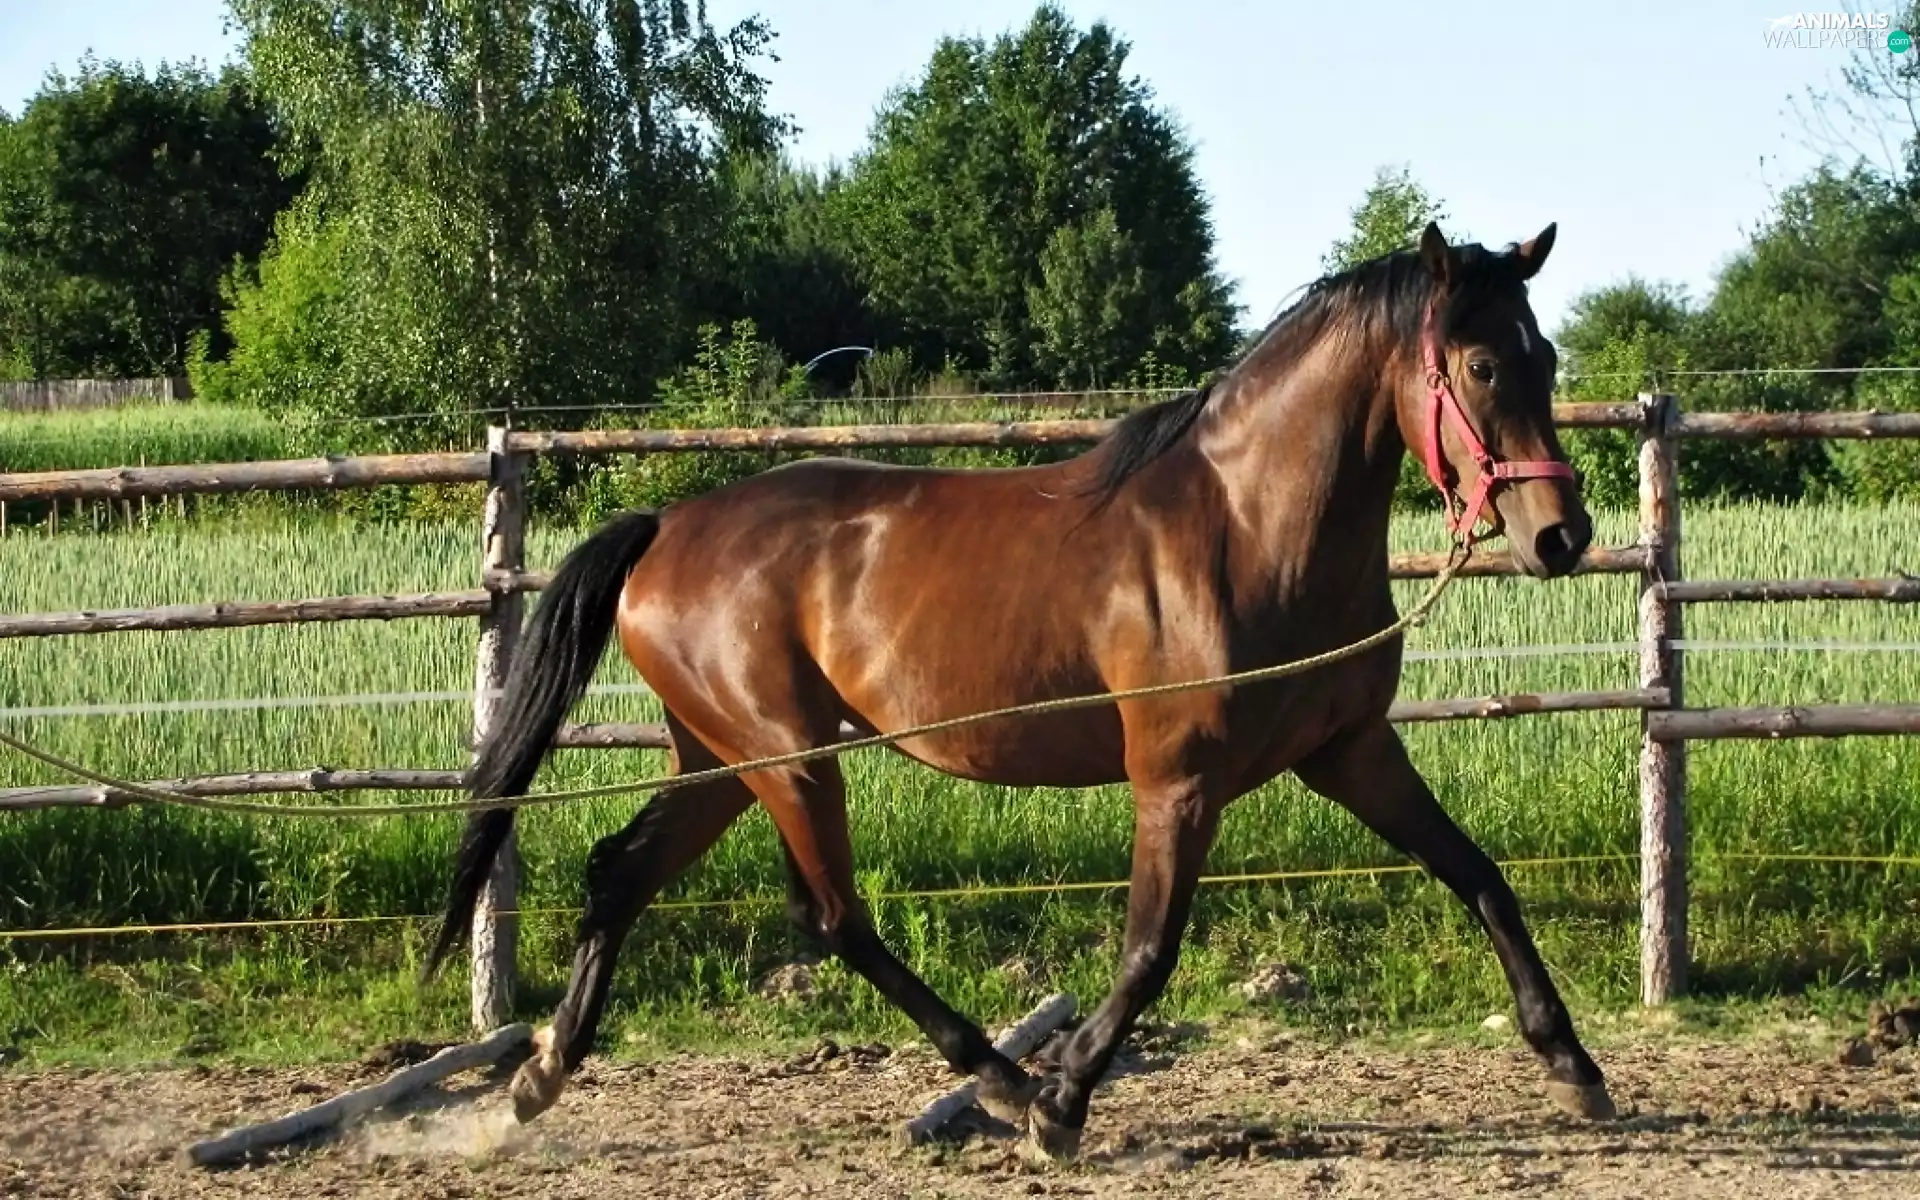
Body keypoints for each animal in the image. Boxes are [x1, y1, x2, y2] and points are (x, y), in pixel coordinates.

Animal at [422, 221, 1614, 1160]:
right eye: (1479, 366)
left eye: (1546, 354)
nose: (1561, 536)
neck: (1248, 532)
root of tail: (668, 526)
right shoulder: (1175, 781)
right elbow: (1147, 950)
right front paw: (1064, 1103)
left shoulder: (1353, 749)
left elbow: (1479, 877)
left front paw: (1575, 1067)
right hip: (788, 758)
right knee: (833, 916)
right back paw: (999, 1078)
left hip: (722, 758)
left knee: (623, 875)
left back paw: (536, 1078)